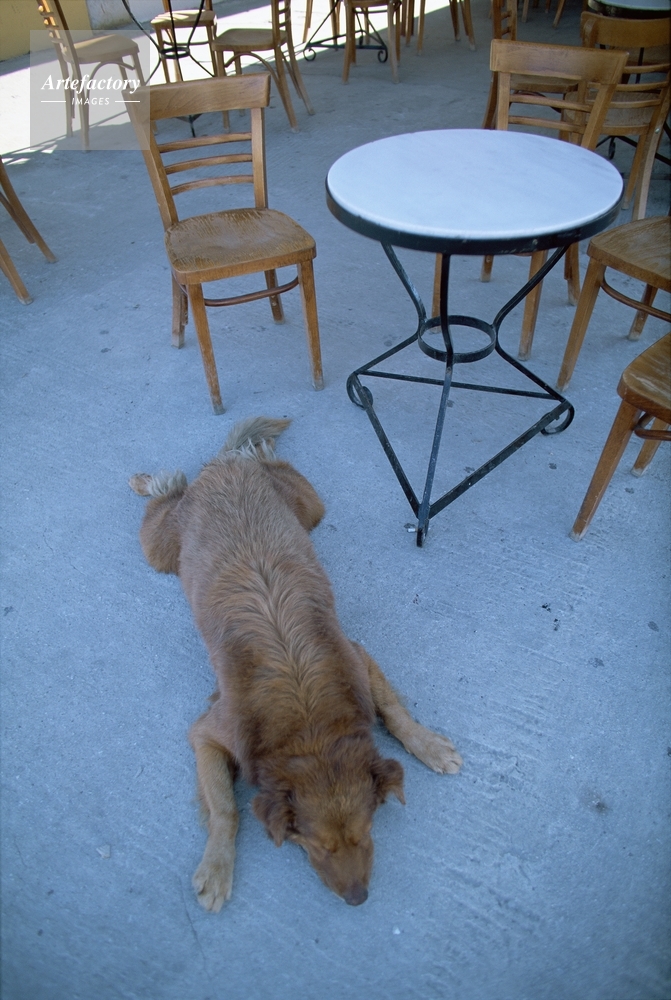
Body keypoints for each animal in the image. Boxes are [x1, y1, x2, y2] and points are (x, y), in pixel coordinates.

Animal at [129, 417, 462, 909]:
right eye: (315, 844)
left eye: (366, 832)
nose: (358, 899)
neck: (310, 726)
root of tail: (226, 469)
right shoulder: (208, 733)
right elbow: (225, 807)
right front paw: (217, 866)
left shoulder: (358, 656)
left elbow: (395, 713)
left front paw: (430, 747)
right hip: (158, 546)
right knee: (169, 487)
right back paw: (145, 479)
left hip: (310, 504)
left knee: (254, 456)